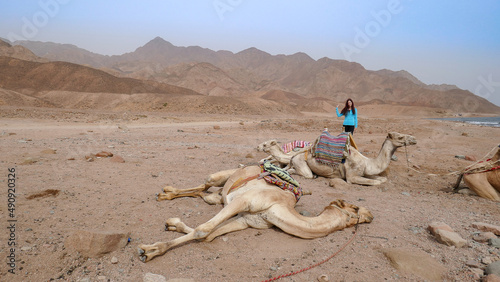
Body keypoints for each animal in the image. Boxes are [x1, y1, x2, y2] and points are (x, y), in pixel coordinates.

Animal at [139, 165, 374, 262]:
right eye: (354, 209)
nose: (370, 215)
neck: (279, 208)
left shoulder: (245, 220)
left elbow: (208, 235)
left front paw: (172, 225)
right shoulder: (244, 201)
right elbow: (202, 230)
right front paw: (150, 250)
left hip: (219, 197)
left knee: (206, 195)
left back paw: (167, 194)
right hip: (219, 177)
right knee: (205, 184)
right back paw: (167, 192)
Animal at [288, 132, 416, 186]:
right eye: (400, 137)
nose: (414, 139)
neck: (367, 162)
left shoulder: (365, 172)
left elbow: (382, 179)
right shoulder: (352, 176)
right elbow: (376, 182)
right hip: (300, 161)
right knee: (304, 173)